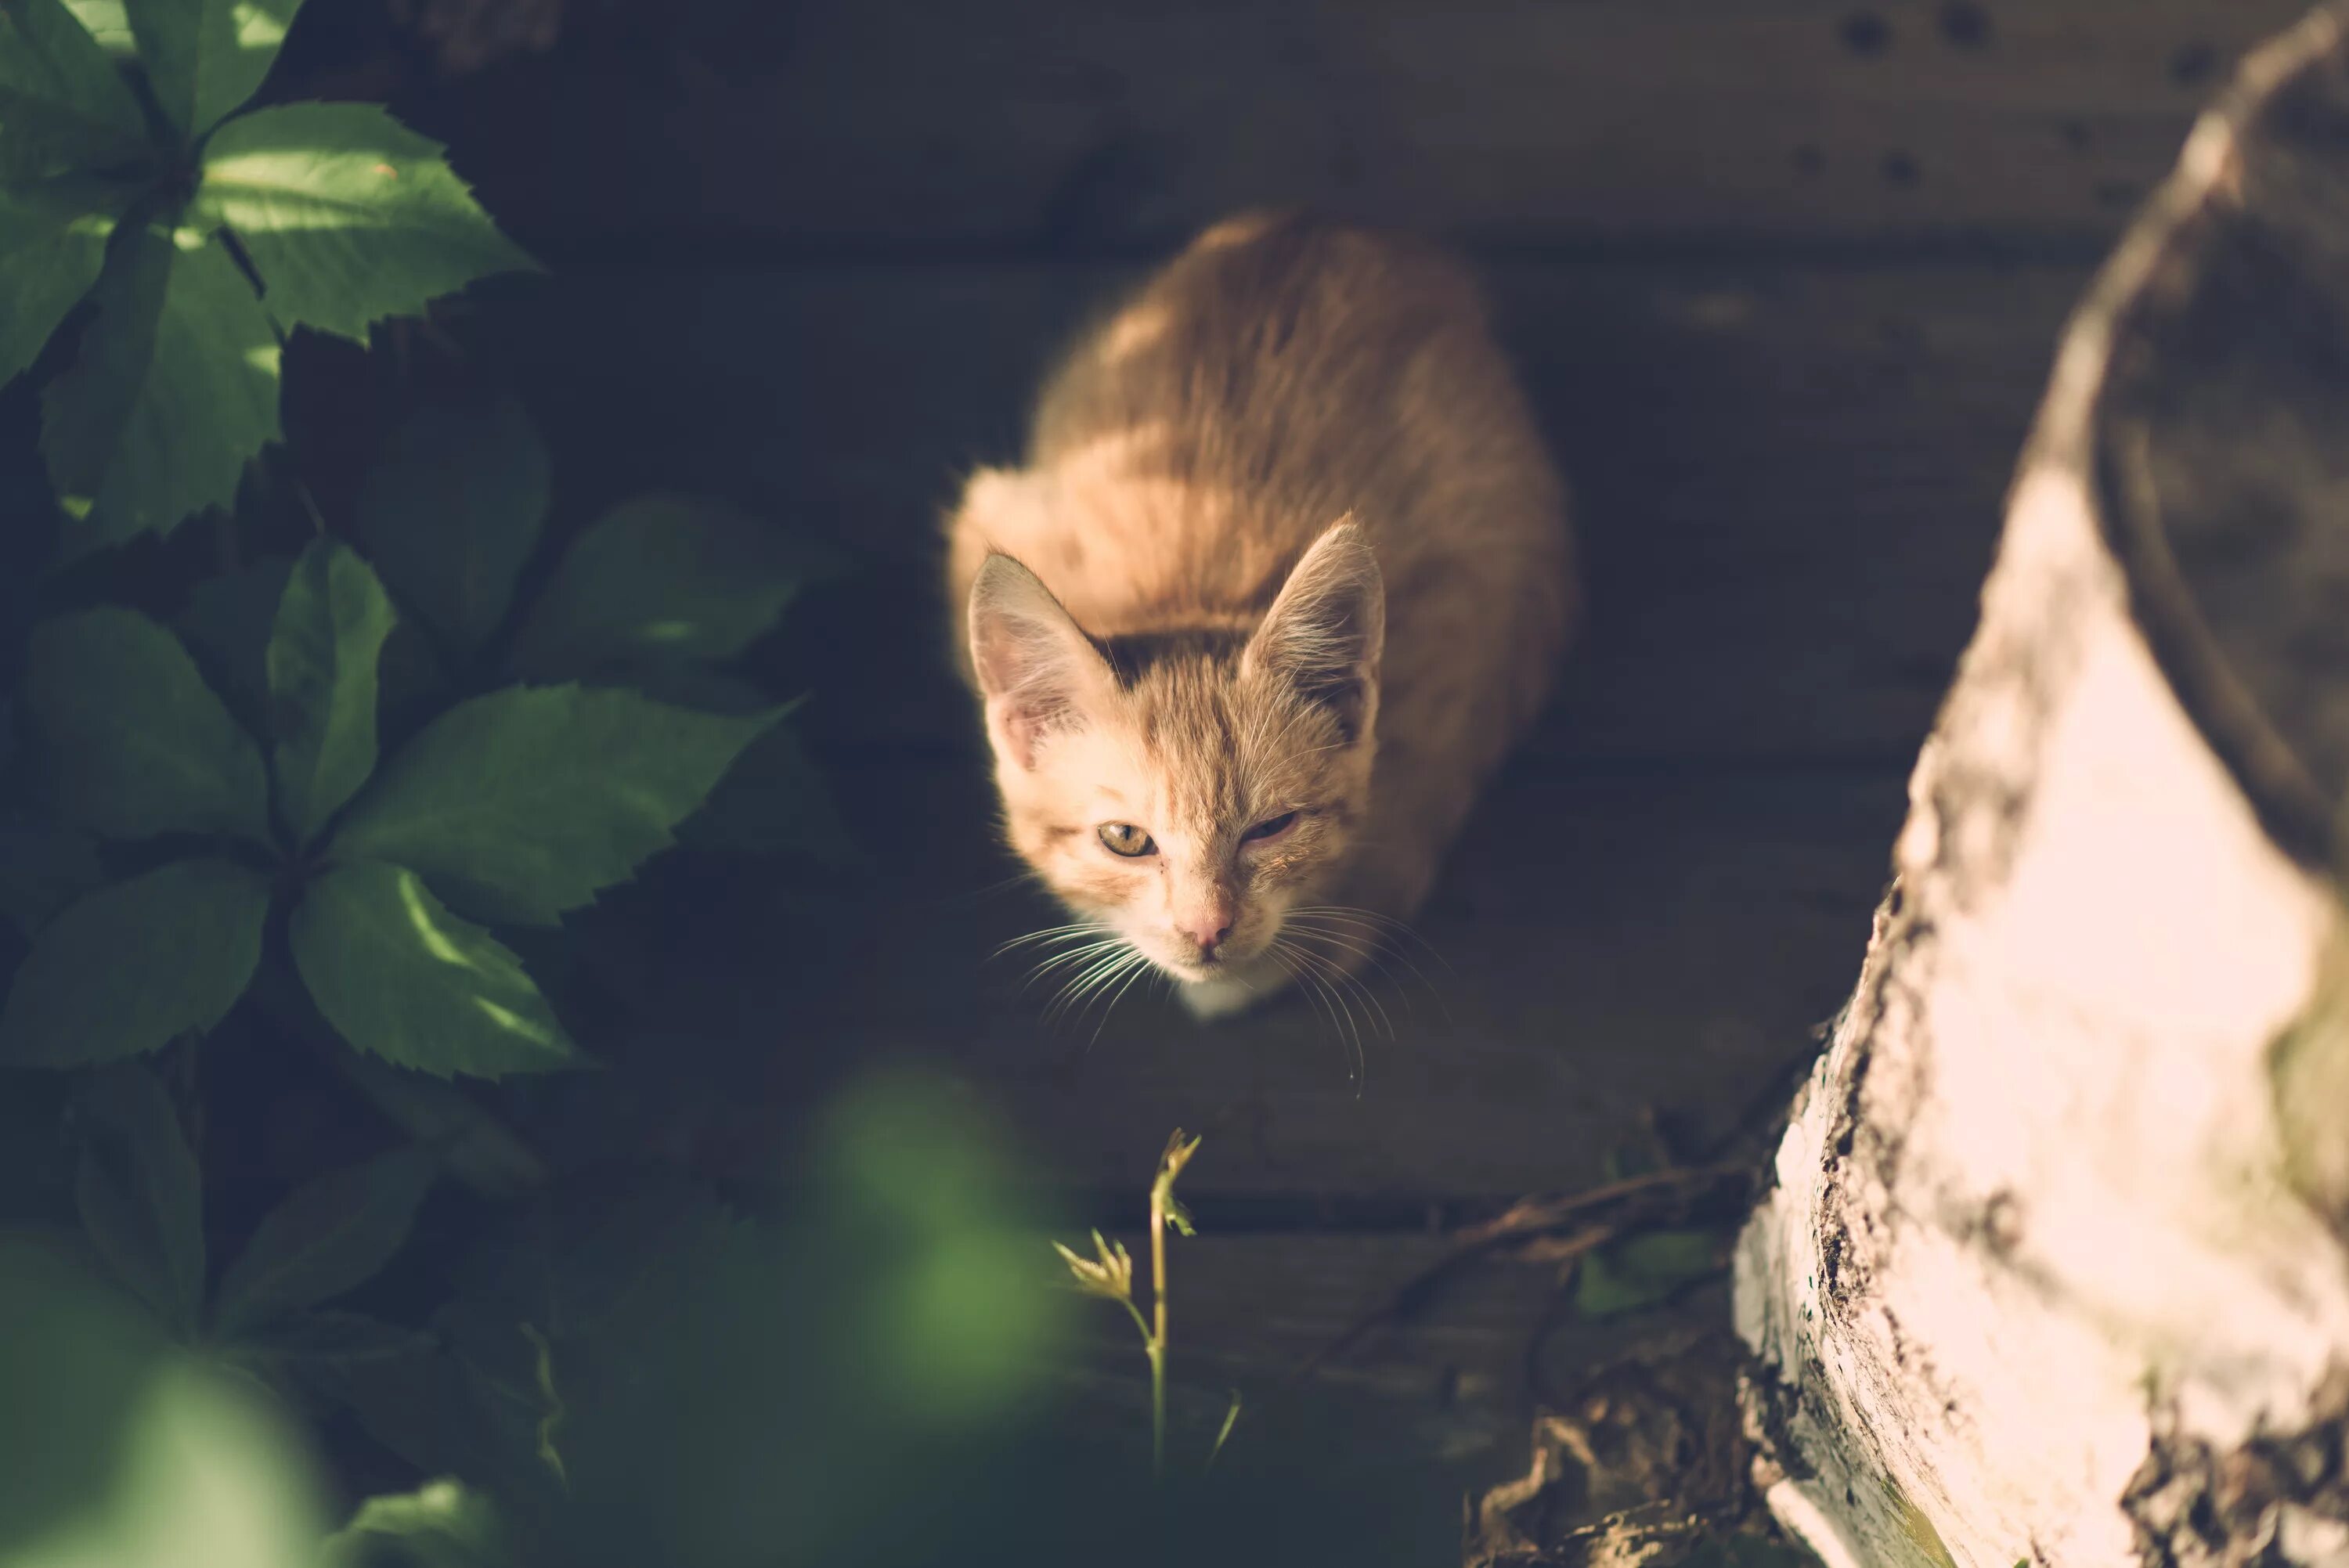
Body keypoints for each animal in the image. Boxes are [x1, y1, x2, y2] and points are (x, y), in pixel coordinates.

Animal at [940, 214, 1579, 1023]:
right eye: (1125, 839)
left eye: (1272, 827)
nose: (1207, 929)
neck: (1186, 593)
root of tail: (1323, 222)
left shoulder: (1473, 608)